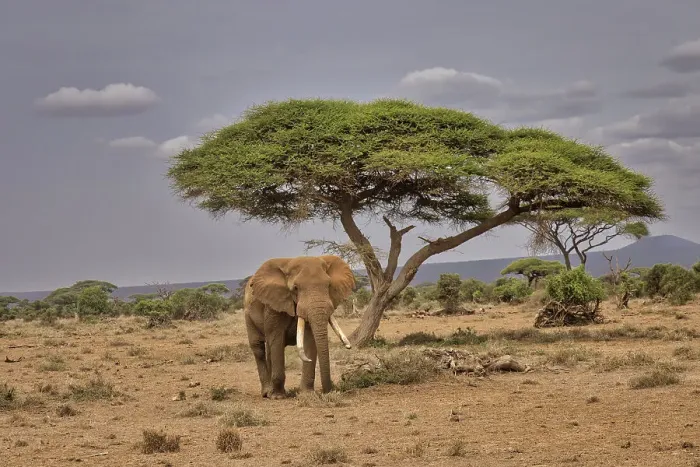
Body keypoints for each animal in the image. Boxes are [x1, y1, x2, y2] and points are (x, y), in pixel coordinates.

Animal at [244, 255, 355, 399]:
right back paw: (267, 393)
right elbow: (276, 338)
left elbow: (310, 338)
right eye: (295, 288)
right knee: (259, 348)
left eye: (329, 285)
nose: (328, 391)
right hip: (248, 315)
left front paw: (307, 394)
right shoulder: (273, 305)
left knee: (269, 349)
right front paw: (278, 397)